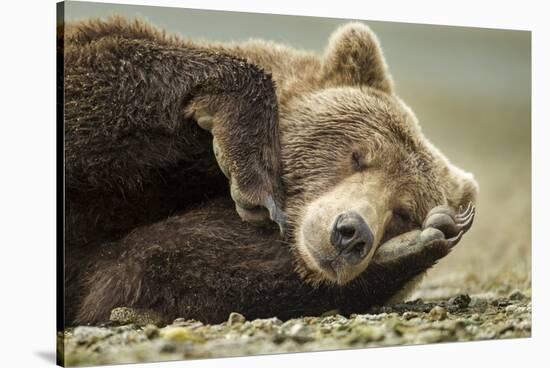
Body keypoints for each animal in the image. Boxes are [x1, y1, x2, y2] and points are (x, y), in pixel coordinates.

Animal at [61, 17, 478, 326]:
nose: (351, 232)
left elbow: (139, 271)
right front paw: (250, 173)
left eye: (404, 212)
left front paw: (415, 245)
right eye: (358, 156)